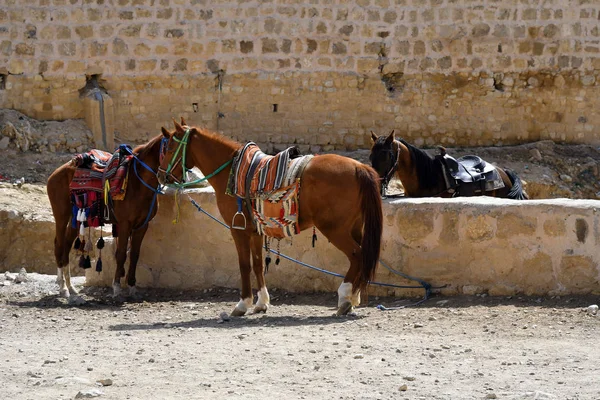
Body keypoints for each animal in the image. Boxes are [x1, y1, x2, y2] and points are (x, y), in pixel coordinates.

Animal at [47, 133, 165, 302]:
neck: (138, 182)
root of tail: (56, 173)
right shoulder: (125, 224)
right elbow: (121, 254)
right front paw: (117, 289)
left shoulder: (142, 225)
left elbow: (134, 254)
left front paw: (132, 288)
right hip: (61, 215)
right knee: (59, 245)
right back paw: (63, 288)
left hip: (76, 219)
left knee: (66, 246)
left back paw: (71, 288)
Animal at [157, 120, 382, 318]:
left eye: (170, 147)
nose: (161, 176)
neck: (232, 172)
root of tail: (359, 168)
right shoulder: (256, 231)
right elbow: (257, 264)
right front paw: (261, 303)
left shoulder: (238, 230)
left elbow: (244, 265)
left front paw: (243, 304)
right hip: (354, 227)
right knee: (363, 256)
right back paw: (353, 297)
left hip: (335, 229)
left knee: (357, 255)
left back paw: (345, 298)